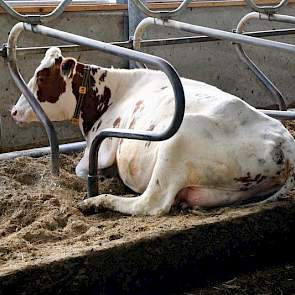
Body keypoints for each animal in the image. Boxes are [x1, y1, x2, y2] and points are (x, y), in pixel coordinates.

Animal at [10, 47, 295, 216]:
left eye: (41, 76)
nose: (13, 111)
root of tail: (285, 142)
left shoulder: (104, 146)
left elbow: (82, 169)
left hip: (177, 142)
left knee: (151, 204)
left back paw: (97, 201)